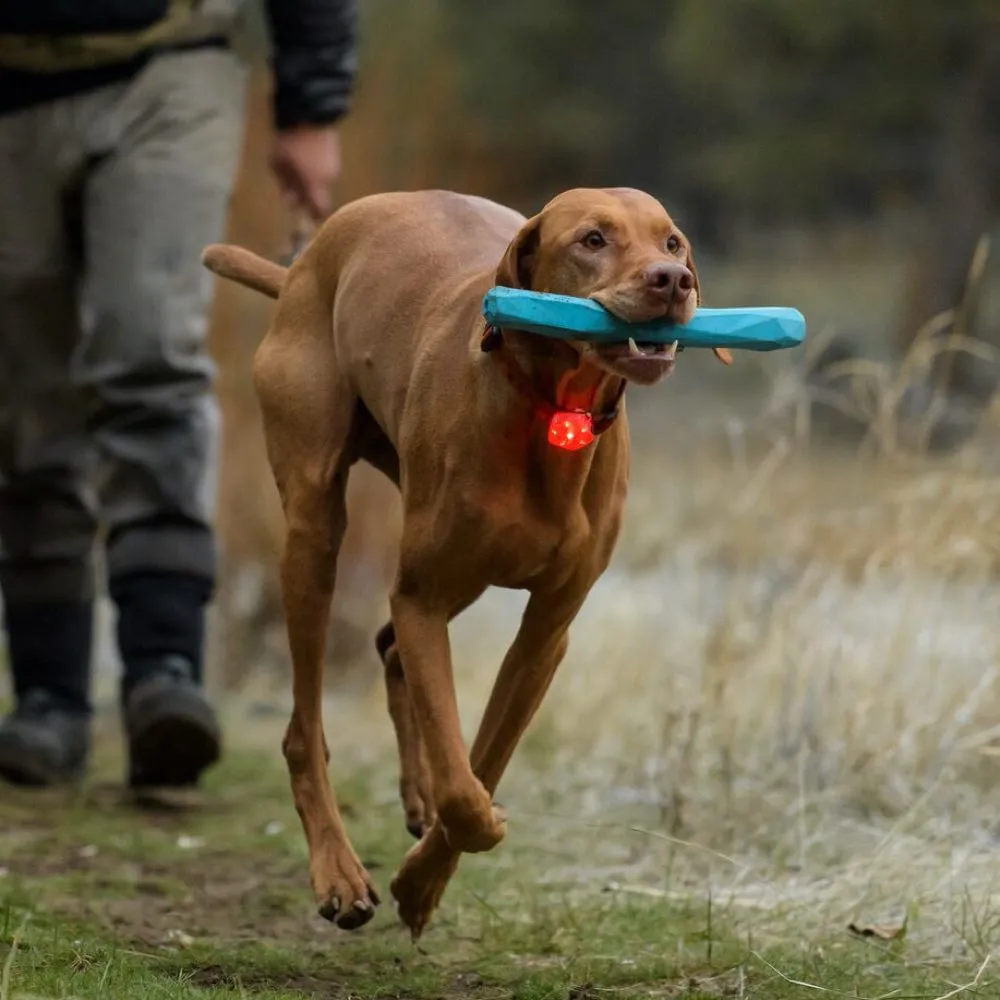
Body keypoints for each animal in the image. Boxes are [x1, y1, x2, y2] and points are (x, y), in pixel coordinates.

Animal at [199, 186, 732, 936]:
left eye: (673, 242)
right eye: (593, 239)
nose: (673, 281)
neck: (552, 411)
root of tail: (309, 256)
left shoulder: (546, 633)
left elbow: (482, 756)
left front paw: (425, 879)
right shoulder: (422, 596)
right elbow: (463, 785)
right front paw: (442, 852)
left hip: (455, 569)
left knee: (391, 650)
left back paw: (412, 799)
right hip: (314, 528)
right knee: (306, 727)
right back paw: (338, 871)